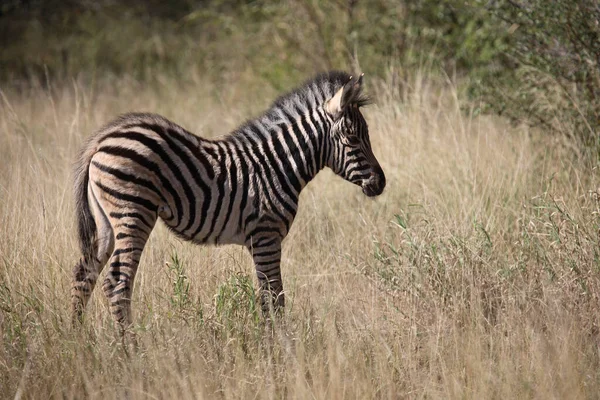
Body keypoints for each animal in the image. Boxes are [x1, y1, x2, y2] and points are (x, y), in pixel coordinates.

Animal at [71, 71, 384, 332]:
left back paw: (77, 339)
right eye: (353, 138)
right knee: (117, 282)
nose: (381, 183)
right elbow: (274, 298)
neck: (278, 165)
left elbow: (269, 297)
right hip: (133, 212)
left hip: (106, 222)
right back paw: (131, 349)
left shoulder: (259, 241)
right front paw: (279, 348)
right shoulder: (266, 236)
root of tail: (102, 140)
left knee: (84, 273)